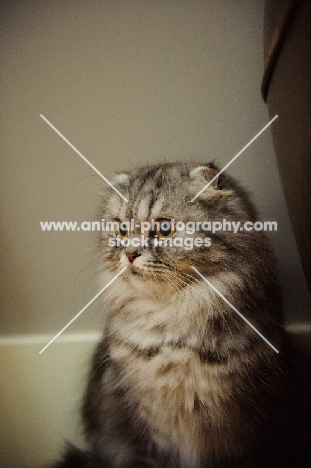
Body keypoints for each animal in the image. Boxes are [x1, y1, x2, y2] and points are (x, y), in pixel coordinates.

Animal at [52, 162, 304, 468]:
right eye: (122, 230)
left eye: (163, 229)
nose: (130, 254)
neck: (170, 333)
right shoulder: (150, 430)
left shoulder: (241, 428)